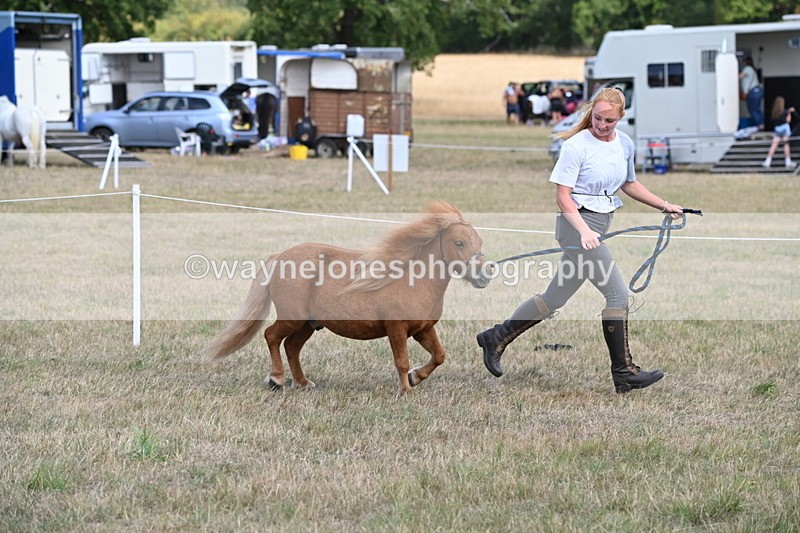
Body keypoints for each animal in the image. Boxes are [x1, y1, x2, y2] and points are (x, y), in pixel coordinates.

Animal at [205, 201, 492, 393]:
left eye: (479, 241)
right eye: (459, 243)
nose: (485, 273)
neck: (412, 279)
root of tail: (279, 257)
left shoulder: (422, 330)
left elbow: (439, 356)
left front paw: (415, 378)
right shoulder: (397, 329)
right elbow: (401, 361)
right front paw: (405, 389)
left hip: (308, 324)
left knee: (292, 346)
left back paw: (303, 382)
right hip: (292, 318)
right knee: (272, 336)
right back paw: (276, 379)